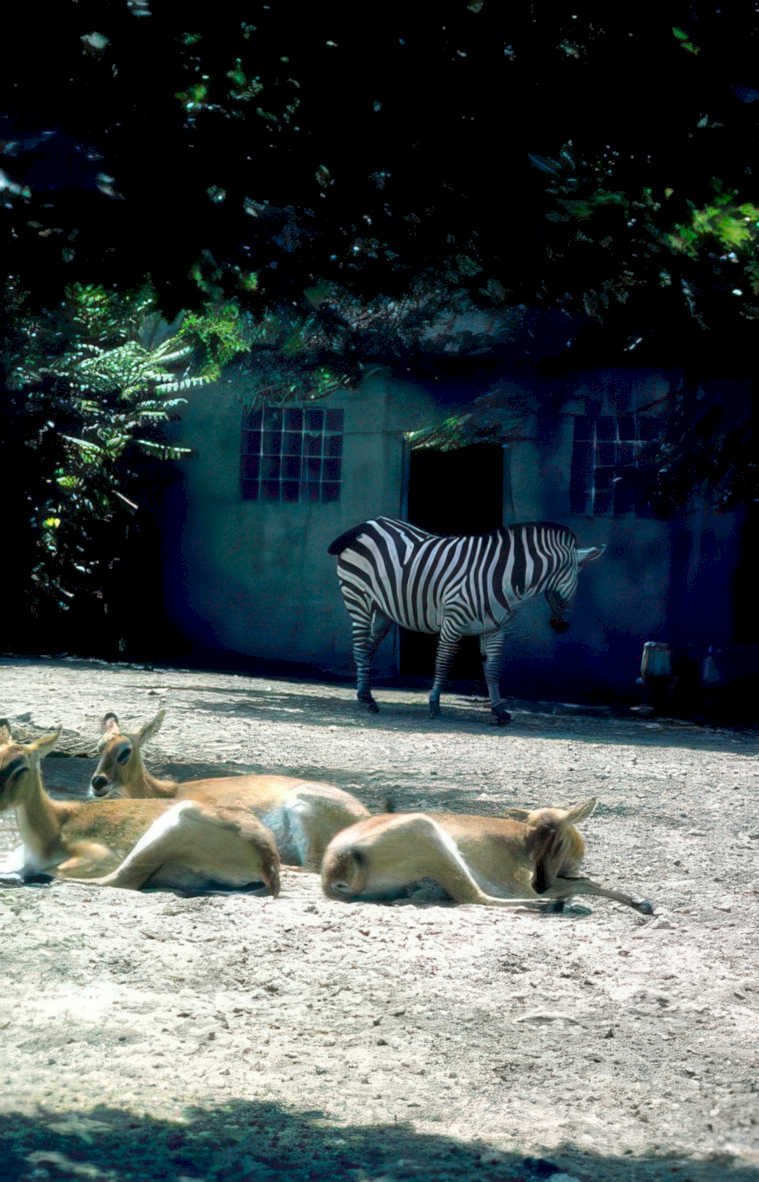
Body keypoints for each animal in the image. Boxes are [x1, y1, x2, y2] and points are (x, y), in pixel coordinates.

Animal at [0, 722, 280, 894]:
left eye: (20, 767)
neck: (54, 826)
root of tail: (268, 858)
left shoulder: (101, 857)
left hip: (166, 831)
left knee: (120, 880)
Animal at [89, 709, 370, 871]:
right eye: (100, 746)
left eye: (125, 751)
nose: (98, 783)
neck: (165, 792)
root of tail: (364, 816)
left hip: (301, 810)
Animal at [321, 799, 653, 915]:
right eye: (530, 832)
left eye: (558, 838)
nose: (540, 884)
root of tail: (336, 865)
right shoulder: (516, 882)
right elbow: (585, 883)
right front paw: (644, 904)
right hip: (435, 843)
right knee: (475, 897)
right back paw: (548, 905)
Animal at [328, 516, 605, 723]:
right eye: (577, 579)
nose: (562, 626)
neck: (503, 578)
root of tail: (366, 525)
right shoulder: (453, 620)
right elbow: (443, 662)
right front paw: (434, 704)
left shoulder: (495, 627)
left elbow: (493, 669)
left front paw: (499, 709)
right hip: (358, 598)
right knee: (360, 646)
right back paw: (368, 701)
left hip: (383, 610)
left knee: (369, 648)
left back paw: (364, 694)